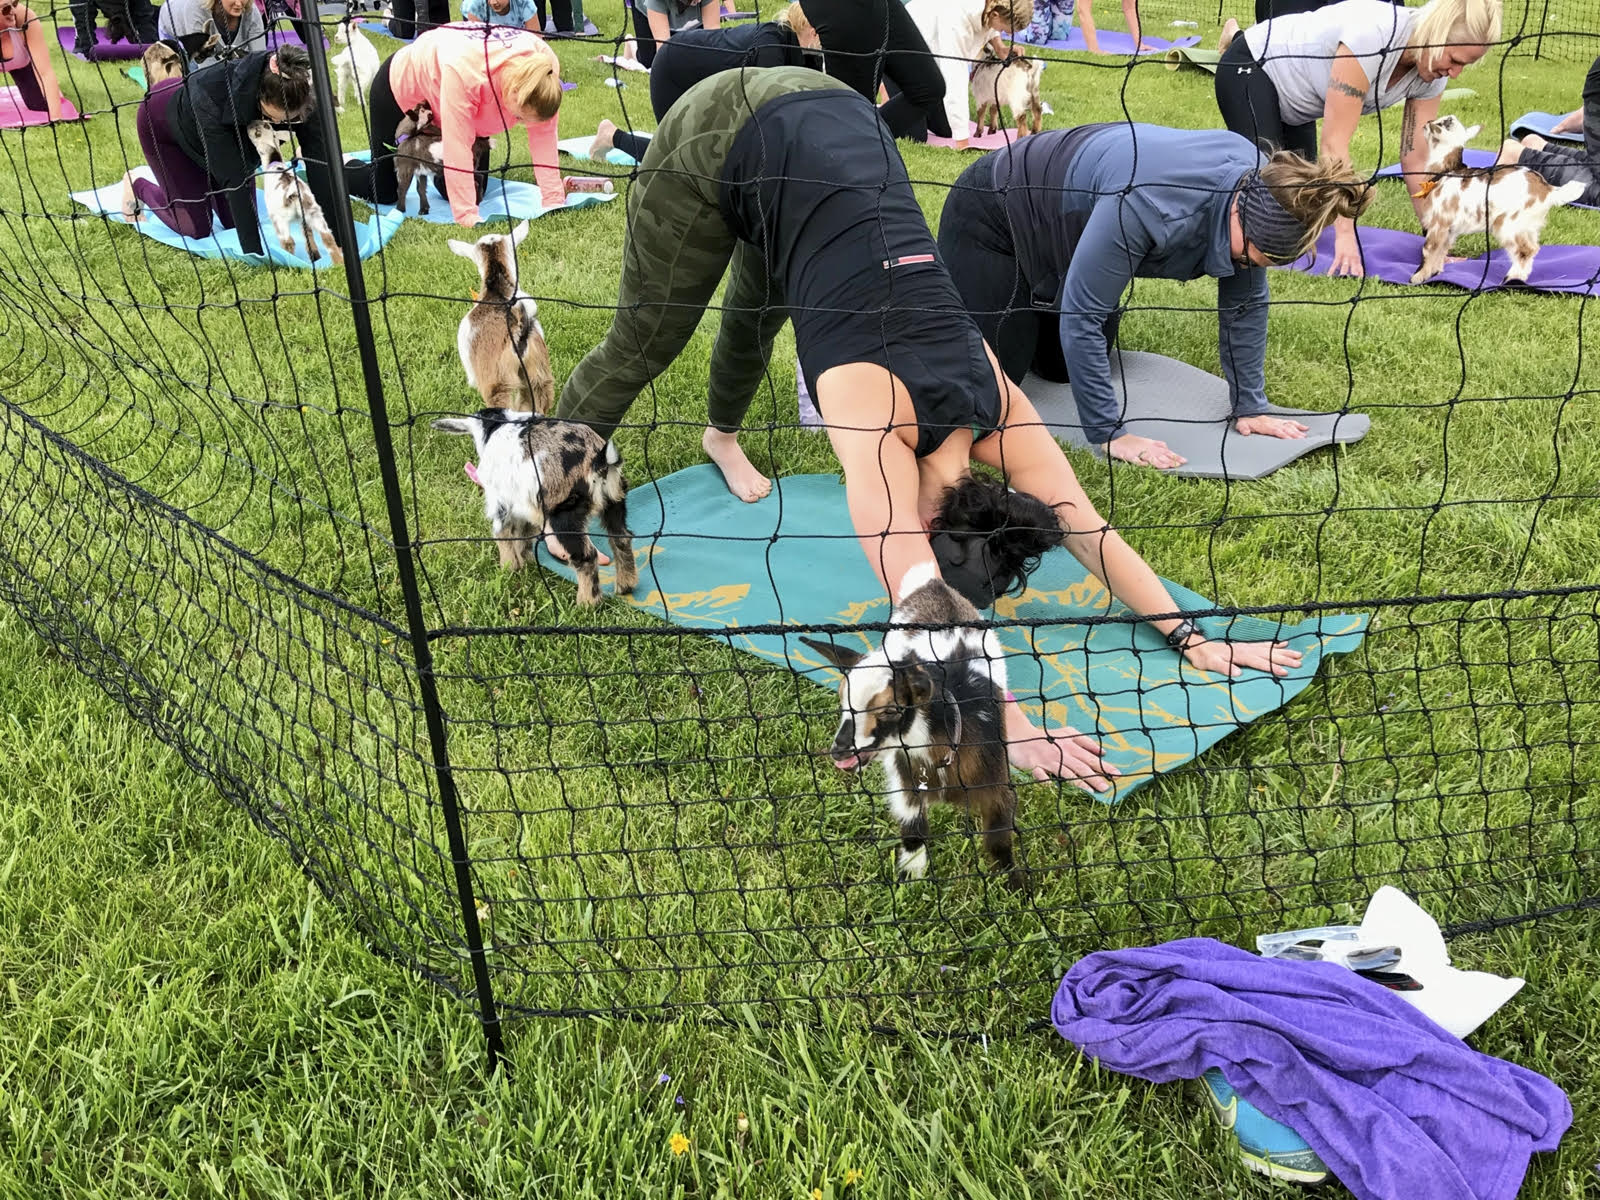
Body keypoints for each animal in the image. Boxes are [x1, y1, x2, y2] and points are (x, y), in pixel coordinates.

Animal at [243, 120, 340, 265]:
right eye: (266, 124)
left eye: (257, 133)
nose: (250, 122)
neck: (274, 161)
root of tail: (293, 191)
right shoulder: (304, 220)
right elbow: (308, 234)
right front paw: (314, 256)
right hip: (314, 213)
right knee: (327, 237)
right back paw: (339, 263)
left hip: (281, 220)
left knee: (288, 242)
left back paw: (289, 263)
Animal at [438, 406, 643, 611]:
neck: (497, 426)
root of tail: (599, 461)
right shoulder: (526, 505)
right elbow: (524, 533)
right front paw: (526, 560)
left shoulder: (500, 502)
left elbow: (503, 535)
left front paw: (508, 569)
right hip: (614, 500)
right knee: (621, 538)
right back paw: (625, 586)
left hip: (565, 515)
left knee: (586, 556)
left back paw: (586, 604)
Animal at [800, 563, 1024, 896]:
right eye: (842, 702)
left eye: (892, 709)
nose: (840, 751)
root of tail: (934, 585)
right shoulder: (905, 785)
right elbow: (913, 830)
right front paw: (911, 879)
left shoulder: (997, 785)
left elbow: (999, 841)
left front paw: (1017, 890)